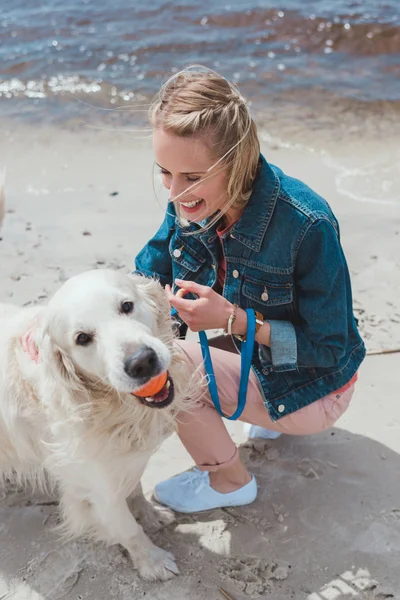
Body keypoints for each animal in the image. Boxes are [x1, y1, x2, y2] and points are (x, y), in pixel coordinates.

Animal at [0, 270, 195, 580]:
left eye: (127, 306)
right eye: (82, 338)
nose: (142, 362)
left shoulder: (118, 459)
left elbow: (135, 489)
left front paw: (149, 514)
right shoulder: (97, 488)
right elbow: (128, 529)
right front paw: (152, 561)